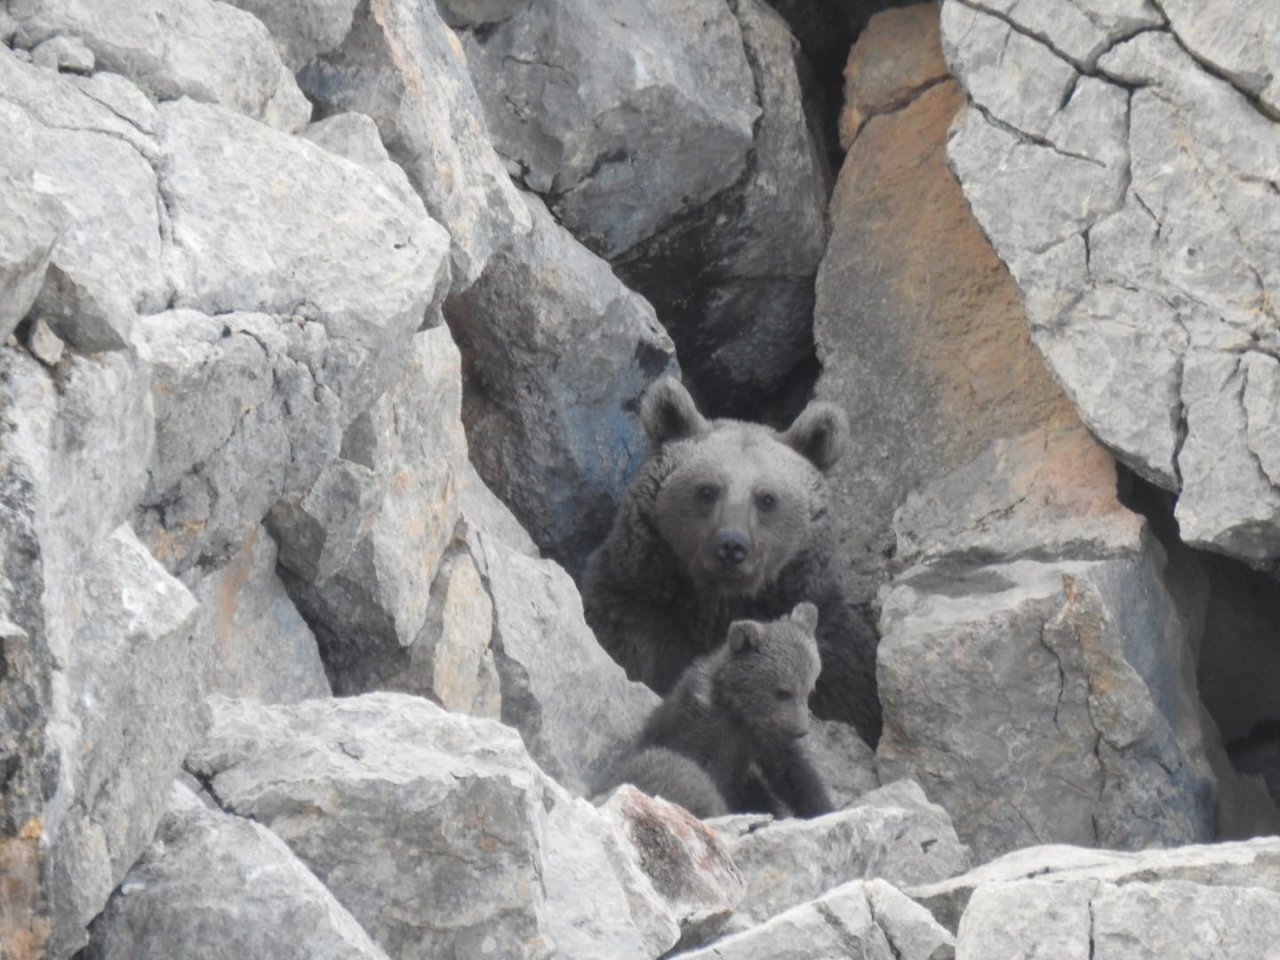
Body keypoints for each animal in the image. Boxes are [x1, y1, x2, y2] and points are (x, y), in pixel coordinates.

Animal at [581, 378, 880, 747]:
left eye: (766, 498)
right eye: (708, 490)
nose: (731, 546)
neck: (716, 607)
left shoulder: (835, 651)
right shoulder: (635, 615)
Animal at [596, 601, 834, 819]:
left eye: (810, 690)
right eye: (783, 691)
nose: (801, 730)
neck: (740, 709)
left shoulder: (767, 738)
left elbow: (794, 773)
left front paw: (822, 806)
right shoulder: (708, 733)